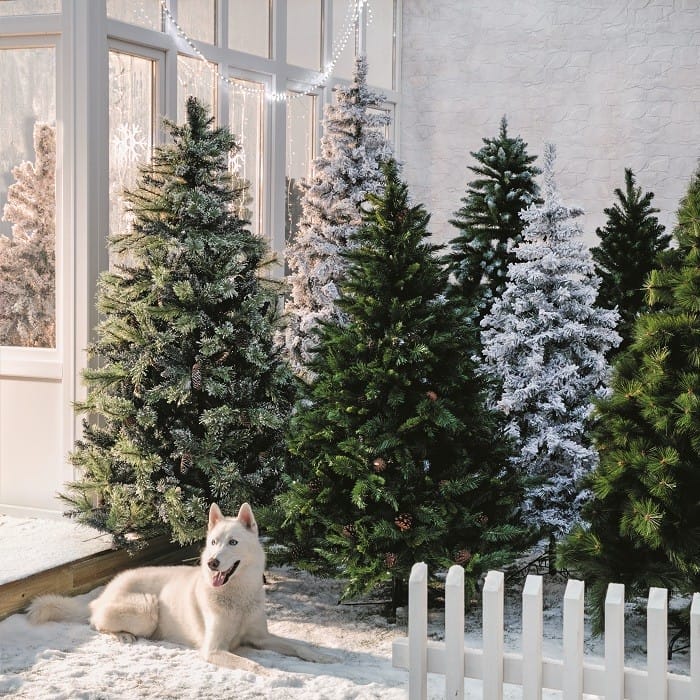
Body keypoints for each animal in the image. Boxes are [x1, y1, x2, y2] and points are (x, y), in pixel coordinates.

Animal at [28, 500, 330, 668]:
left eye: (233, 542)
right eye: (213, 542)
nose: (212, 563)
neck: (237, 597)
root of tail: (100, 596)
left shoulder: (261, 637)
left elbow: (295, 646)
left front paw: (318, 656)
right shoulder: (213, 650)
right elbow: (251, 665)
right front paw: (269, 675)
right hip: (147, 609)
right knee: (95, 623)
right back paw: (123, 635)